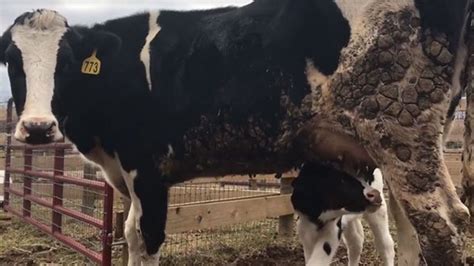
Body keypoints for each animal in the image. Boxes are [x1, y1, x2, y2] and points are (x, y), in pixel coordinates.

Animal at [0, 0, 472, 264]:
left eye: (65, 62)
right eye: (11, 61)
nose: (38, 128)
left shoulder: (149, 170)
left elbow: (147, 238)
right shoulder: (125, 176)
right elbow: (130, 235)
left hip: (403, 134)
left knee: (444, 227)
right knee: (409, 236)